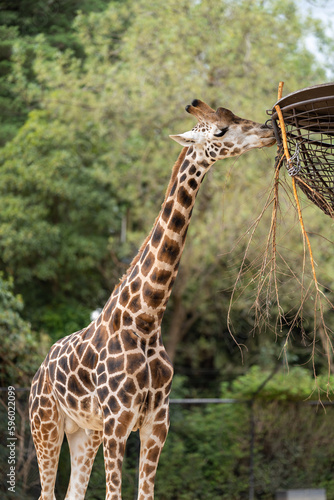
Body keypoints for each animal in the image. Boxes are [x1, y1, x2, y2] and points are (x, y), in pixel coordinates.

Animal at [29, 98, 274, 500]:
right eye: (220, 130)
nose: (269, 131)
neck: (145, 319)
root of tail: (39, 371)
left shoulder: (156, 424)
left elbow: (146, 493)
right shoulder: (117, 422)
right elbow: (115, 494)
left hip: (84, 431)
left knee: (71, 492)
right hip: (46, 424)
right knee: (46, 491)